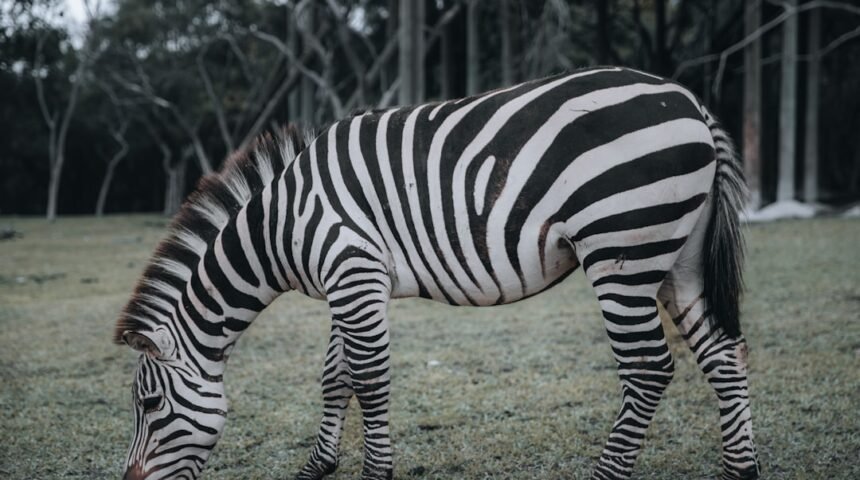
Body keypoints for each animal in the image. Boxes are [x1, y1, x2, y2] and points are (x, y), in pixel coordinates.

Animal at [115, 66, 759, 480]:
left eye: (149, 404)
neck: (280, 225)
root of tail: (691, 102)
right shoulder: (348, 280)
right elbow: (335, 377)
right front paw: (319, 465)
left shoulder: (352, 270)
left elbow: (369, 378)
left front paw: (376, 472)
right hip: (678, 257)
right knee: (722, 352)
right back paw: (741, 467)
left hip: (621, 248)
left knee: (648, 367)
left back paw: (608, 473)